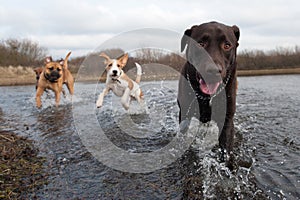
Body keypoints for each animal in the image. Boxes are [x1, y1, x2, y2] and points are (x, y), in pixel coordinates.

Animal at [178, 21, 239, 169]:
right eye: (200, 44)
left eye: (227, 45)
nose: (213, 70)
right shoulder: (184, 117)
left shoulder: (227, 120)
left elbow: (226, 152)